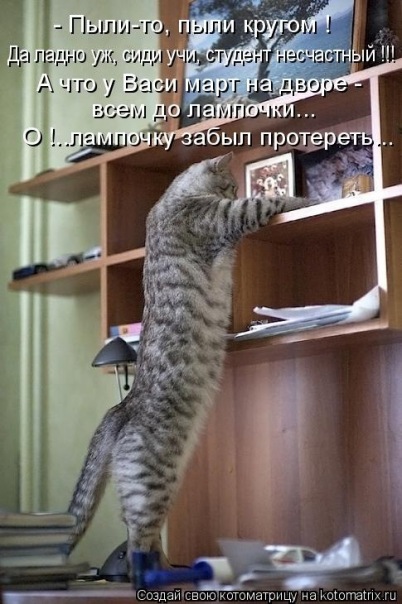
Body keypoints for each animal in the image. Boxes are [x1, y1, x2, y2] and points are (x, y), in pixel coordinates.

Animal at [67, 152, 312, 568]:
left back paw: (172, 567)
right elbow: (265, 203)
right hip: (153, 482)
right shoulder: (224, 217)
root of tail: (123, 408)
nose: (232, 189)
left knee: (143, 534)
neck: (173, 198)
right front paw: (302, 199)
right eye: (231, 184)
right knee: (137, 541)